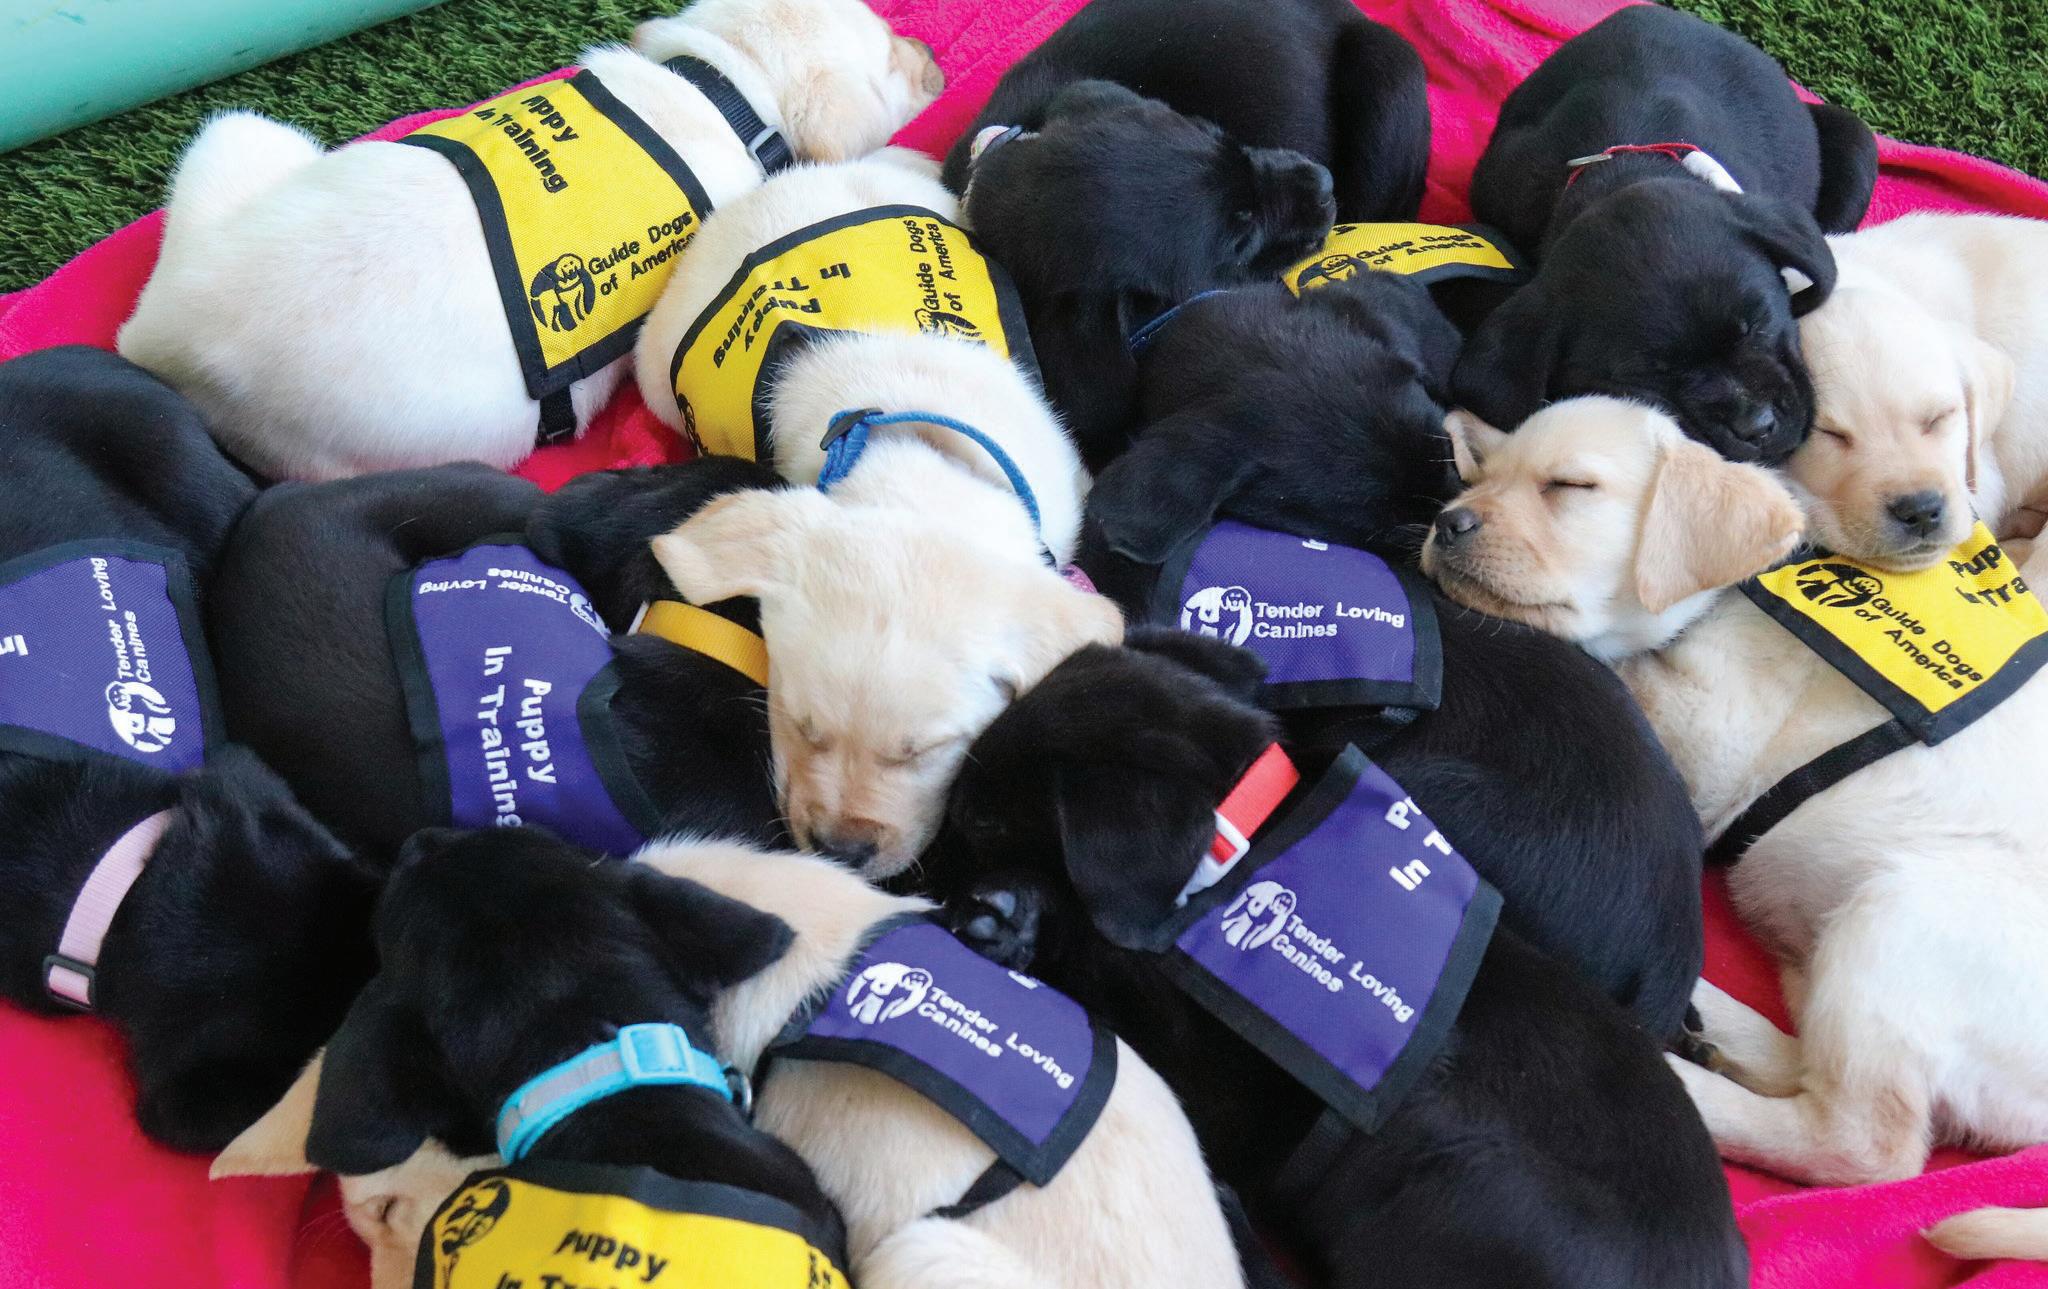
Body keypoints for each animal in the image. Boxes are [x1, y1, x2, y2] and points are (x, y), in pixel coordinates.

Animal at [934, 632, 1746, 1287]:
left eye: (982, 819)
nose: (909, 870)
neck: (1237, 848)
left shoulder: (1218, 1087)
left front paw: (1013, 917)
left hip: (1444, 1154)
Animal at [1422, 395, 2048, 1260]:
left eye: (1570, 486)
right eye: (1482, 478)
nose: (1447, 521)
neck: (1737, 591)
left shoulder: (1712, 732)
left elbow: (1628, 679)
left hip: (1907, 912)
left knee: (1865, 1140)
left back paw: (1691, 1083)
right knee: (1816, 1065)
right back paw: (1716, 1025)